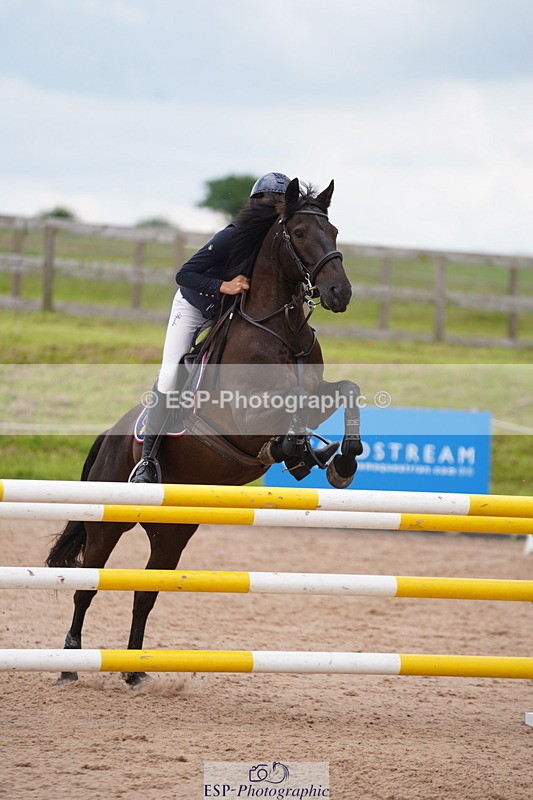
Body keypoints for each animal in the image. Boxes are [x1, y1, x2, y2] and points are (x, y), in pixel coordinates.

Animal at [46, 178, 363, 686]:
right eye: (298, 231)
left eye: (333, 230)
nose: (339, 292)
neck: (280, 329)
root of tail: (109, 436)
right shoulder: (243, 415)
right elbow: (286, 410)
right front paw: (298, 450)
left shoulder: (318, 392)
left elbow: (345, 391)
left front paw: (341, 458)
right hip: (110, 520)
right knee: (86, 585)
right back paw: (70, 663)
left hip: (173, 532)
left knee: (145, 593)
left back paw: (134, 671)